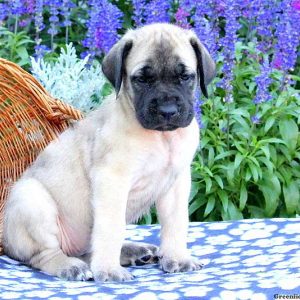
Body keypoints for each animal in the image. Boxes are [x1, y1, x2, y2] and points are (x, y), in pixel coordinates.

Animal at [4, 22, 216, 282]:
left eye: (185, 76)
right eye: (141, 79)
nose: (168, 111)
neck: (161, 137)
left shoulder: (176, 183)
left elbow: (176, 222)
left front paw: (177, 257)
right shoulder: (112, 181)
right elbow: (111, 227)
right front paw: (108, 269)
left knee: (87, 251)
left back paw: (135, 252)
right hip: (32, 199)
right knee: (43, 255)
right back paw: (70, 266)